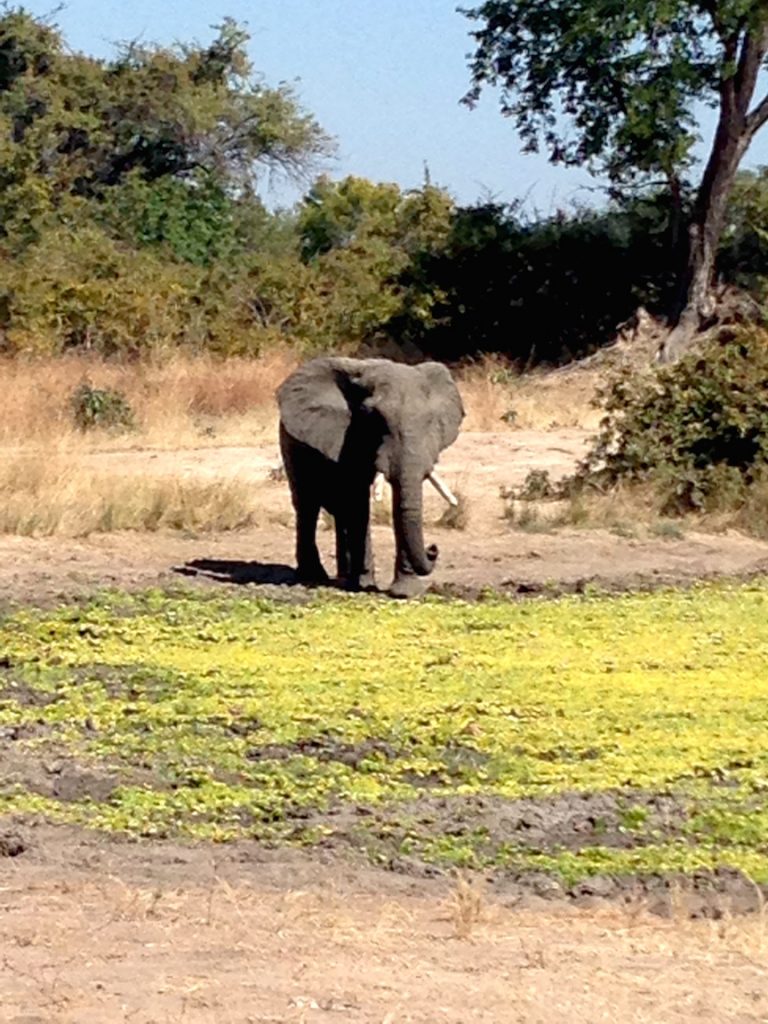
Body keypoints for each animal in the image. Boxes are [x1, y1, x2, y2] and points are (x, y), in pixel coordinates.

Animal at [280, 356, 466, 598]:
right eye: (375, 419)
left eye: (430, 421)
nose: (433, 549)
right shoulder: (348, 436)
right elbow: (357, 501)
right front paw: (365, 586)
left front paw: (405, 593)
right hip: (290, 444)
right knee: (307, 504)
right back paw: (314, 577)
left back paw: (343, 576)